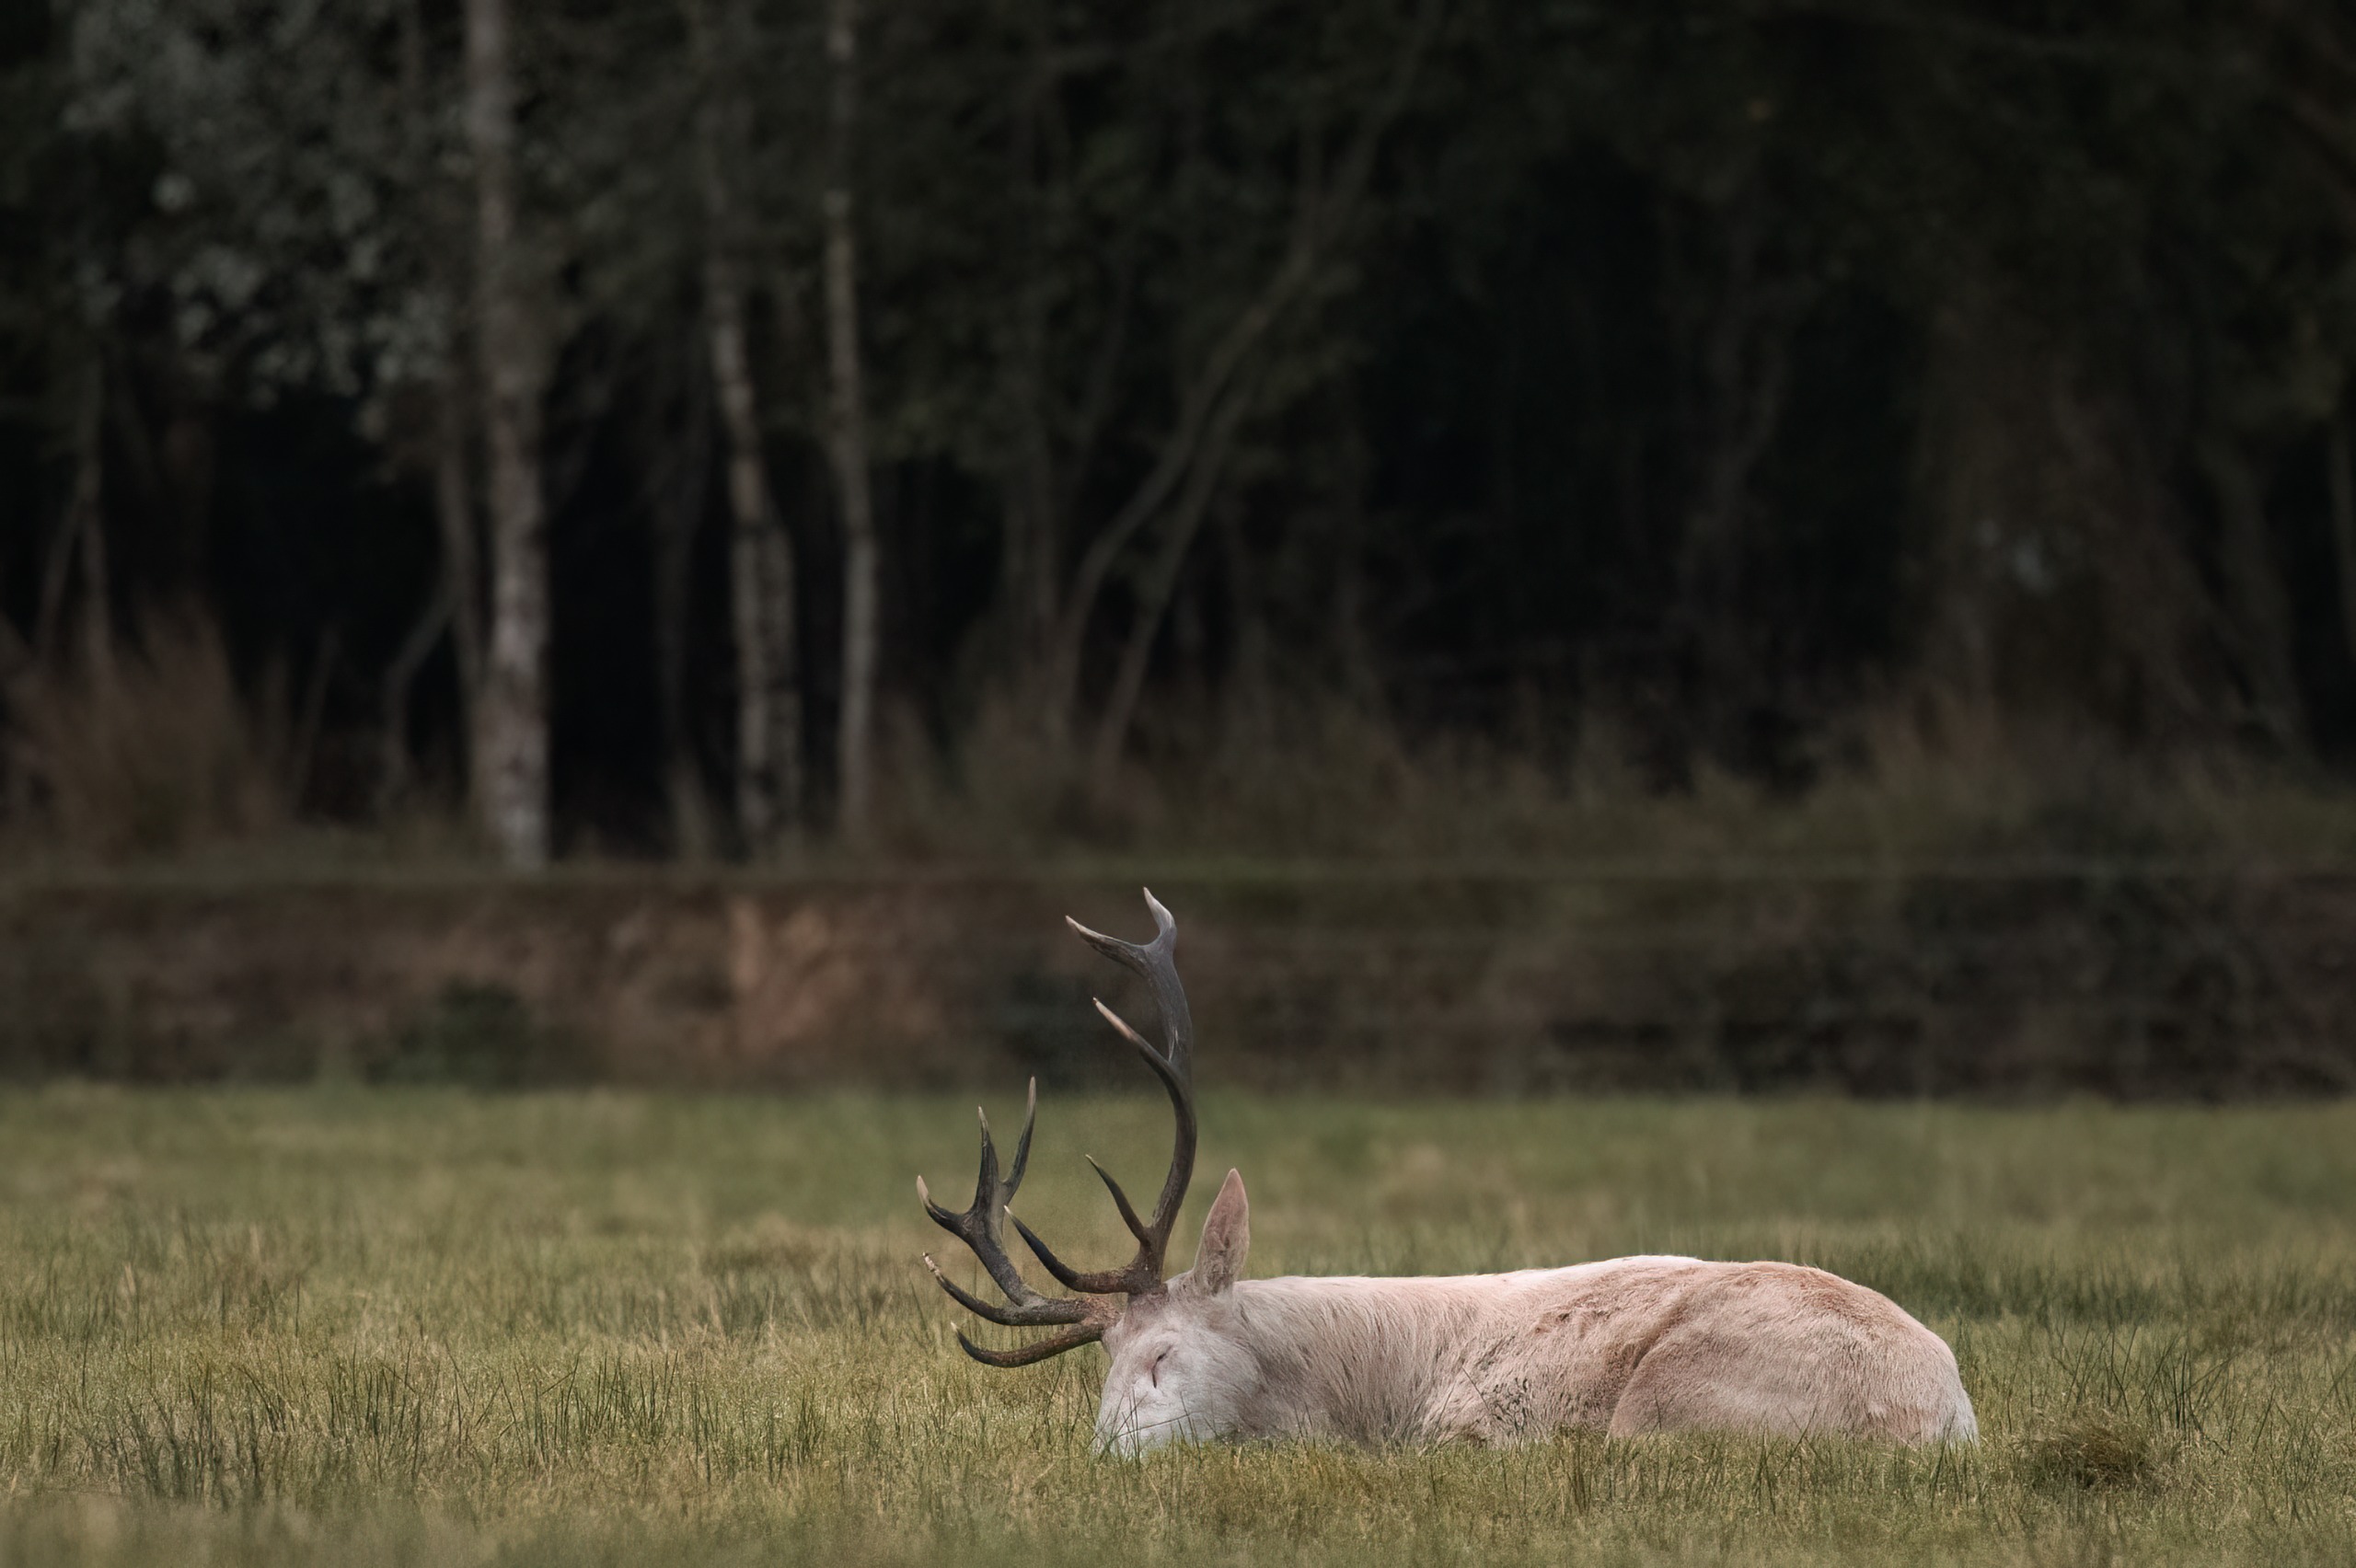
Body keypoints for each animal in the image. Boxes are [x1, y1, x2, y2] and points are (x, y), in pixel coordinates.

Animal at [917, 891, 1977, 1455]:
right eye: (1100, 1369)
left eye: (1163, 1357)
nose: (1107, 1459)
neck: (1377, 1388)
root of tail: (1940, 1419)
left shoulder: (1475, 1427)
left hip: (1674, 1397)